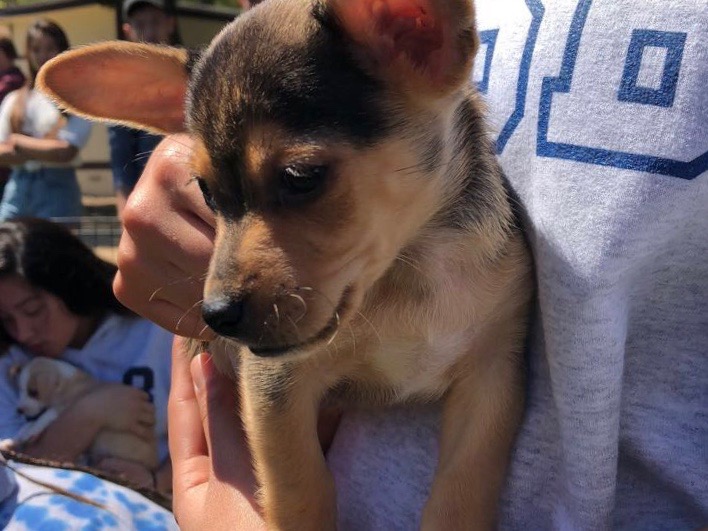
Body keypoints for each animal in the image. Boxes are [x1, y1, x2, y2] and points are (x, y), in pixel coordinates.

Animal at [0, 358, 158, 470]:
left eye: (33, 392)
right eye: (20, 389)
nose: (19, 410)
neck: (64, 381)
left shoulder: (63, 405)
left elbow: (44, 416)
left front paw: (30, 432)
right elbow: (30, 423)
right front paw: (19, 435)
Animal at [38, 0, 532, 528]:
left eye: (300, 177)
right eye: (205, 192)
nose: (215, 316)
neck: (405, 272)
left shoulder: (491, 380)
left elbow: (461, 493)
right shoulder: (276, 389)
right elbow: (302, 489)